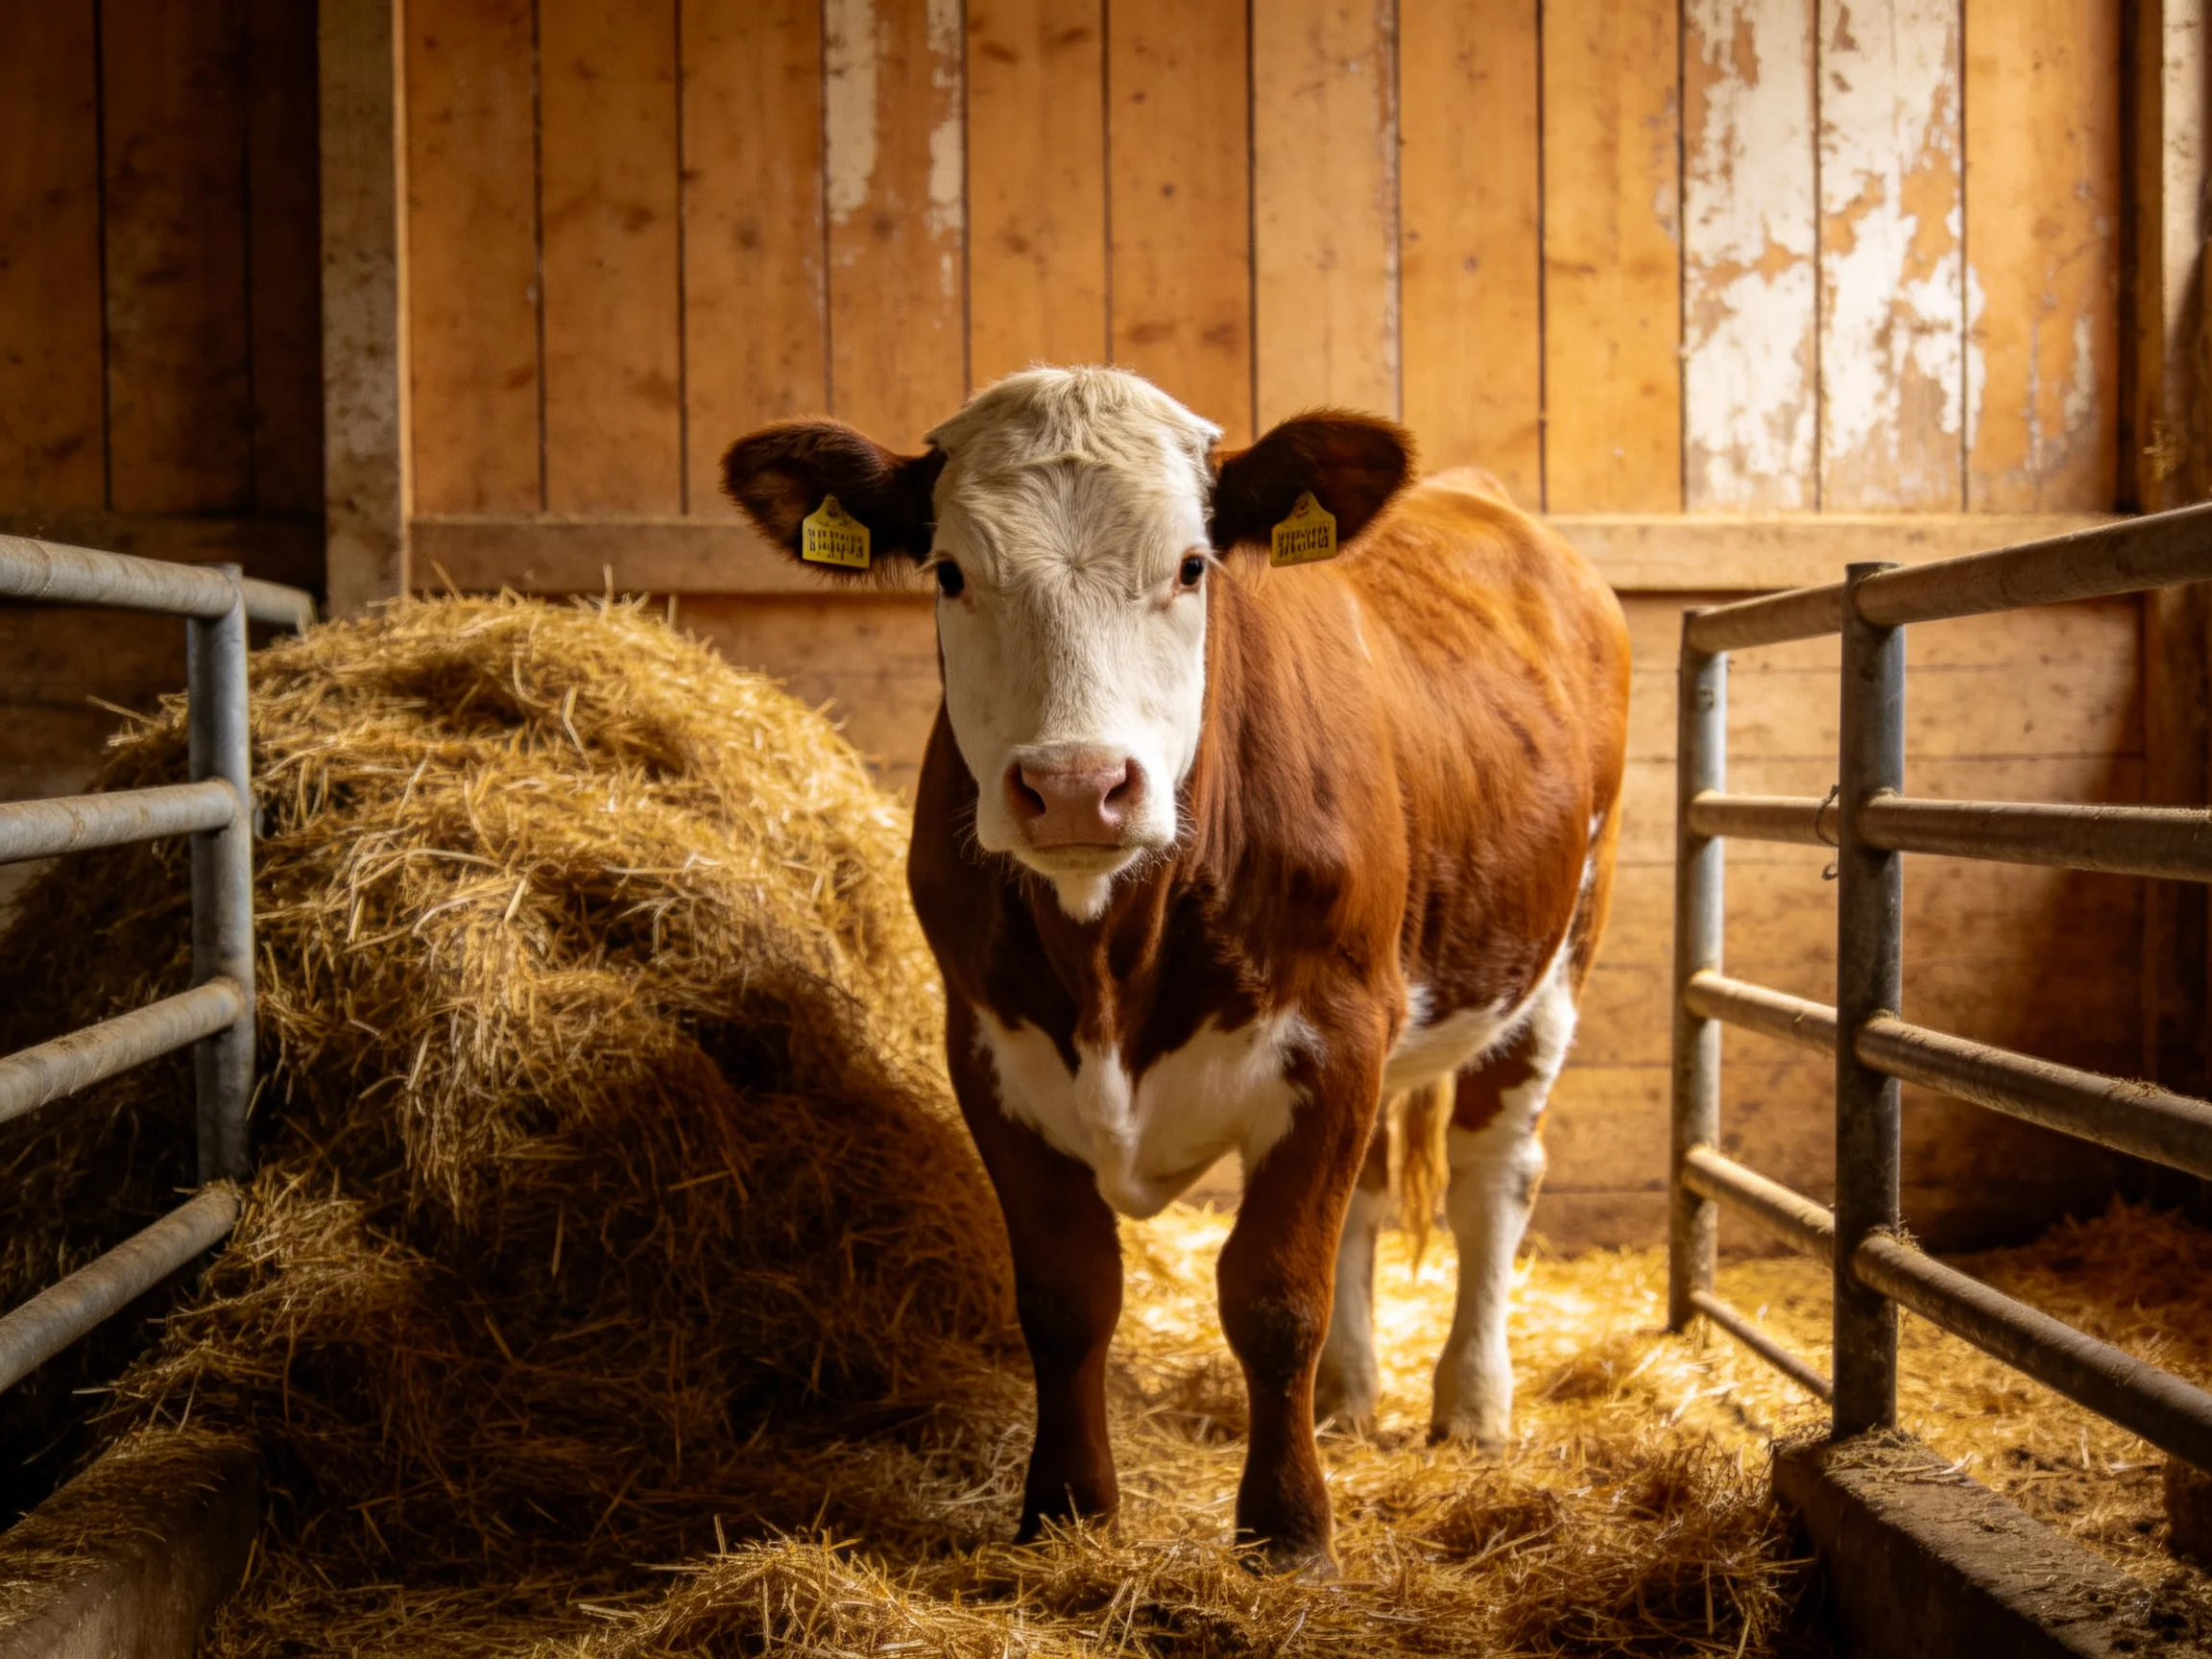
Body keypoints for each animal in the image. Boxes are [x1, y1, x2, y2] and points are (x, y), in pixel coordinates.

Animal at [722, 366, 1630, 1576]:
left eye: (1193, 565)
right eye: (951, 571)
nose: (1075, 786)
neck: (1115, 953)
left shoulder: (1335, 1031)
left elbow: (1274, 1294)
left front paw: (1289, 1533)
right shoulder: (991, 1049)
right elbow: (1067, 1295)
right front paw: (1067, 1511)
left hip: (1556, 955)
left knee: (1496, 1177)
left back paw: (1471, 1406)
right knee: (1372, 1198)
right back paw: (1348, 1396)